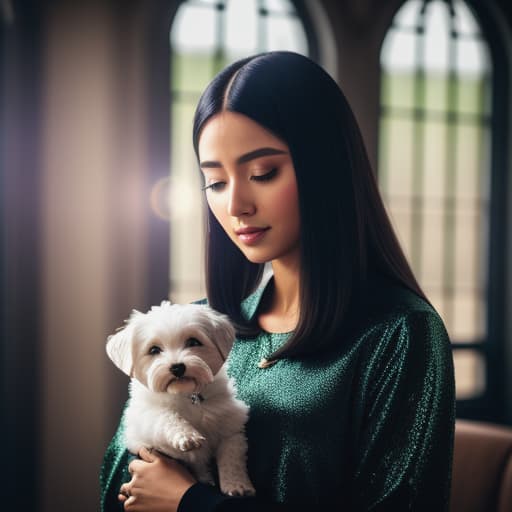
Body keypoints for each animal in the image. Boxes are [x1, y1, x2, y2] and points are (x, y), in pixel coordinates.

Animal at [106, 300, 256, 496]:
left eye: (193, 341)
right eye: (154, 350)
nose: (177, 367)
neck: (186, 395)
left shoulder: (230, 427)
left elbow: (232, 458)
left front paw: (237, 485)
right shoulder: (145, 419)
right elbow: (165, 415)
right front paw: (187, 435)